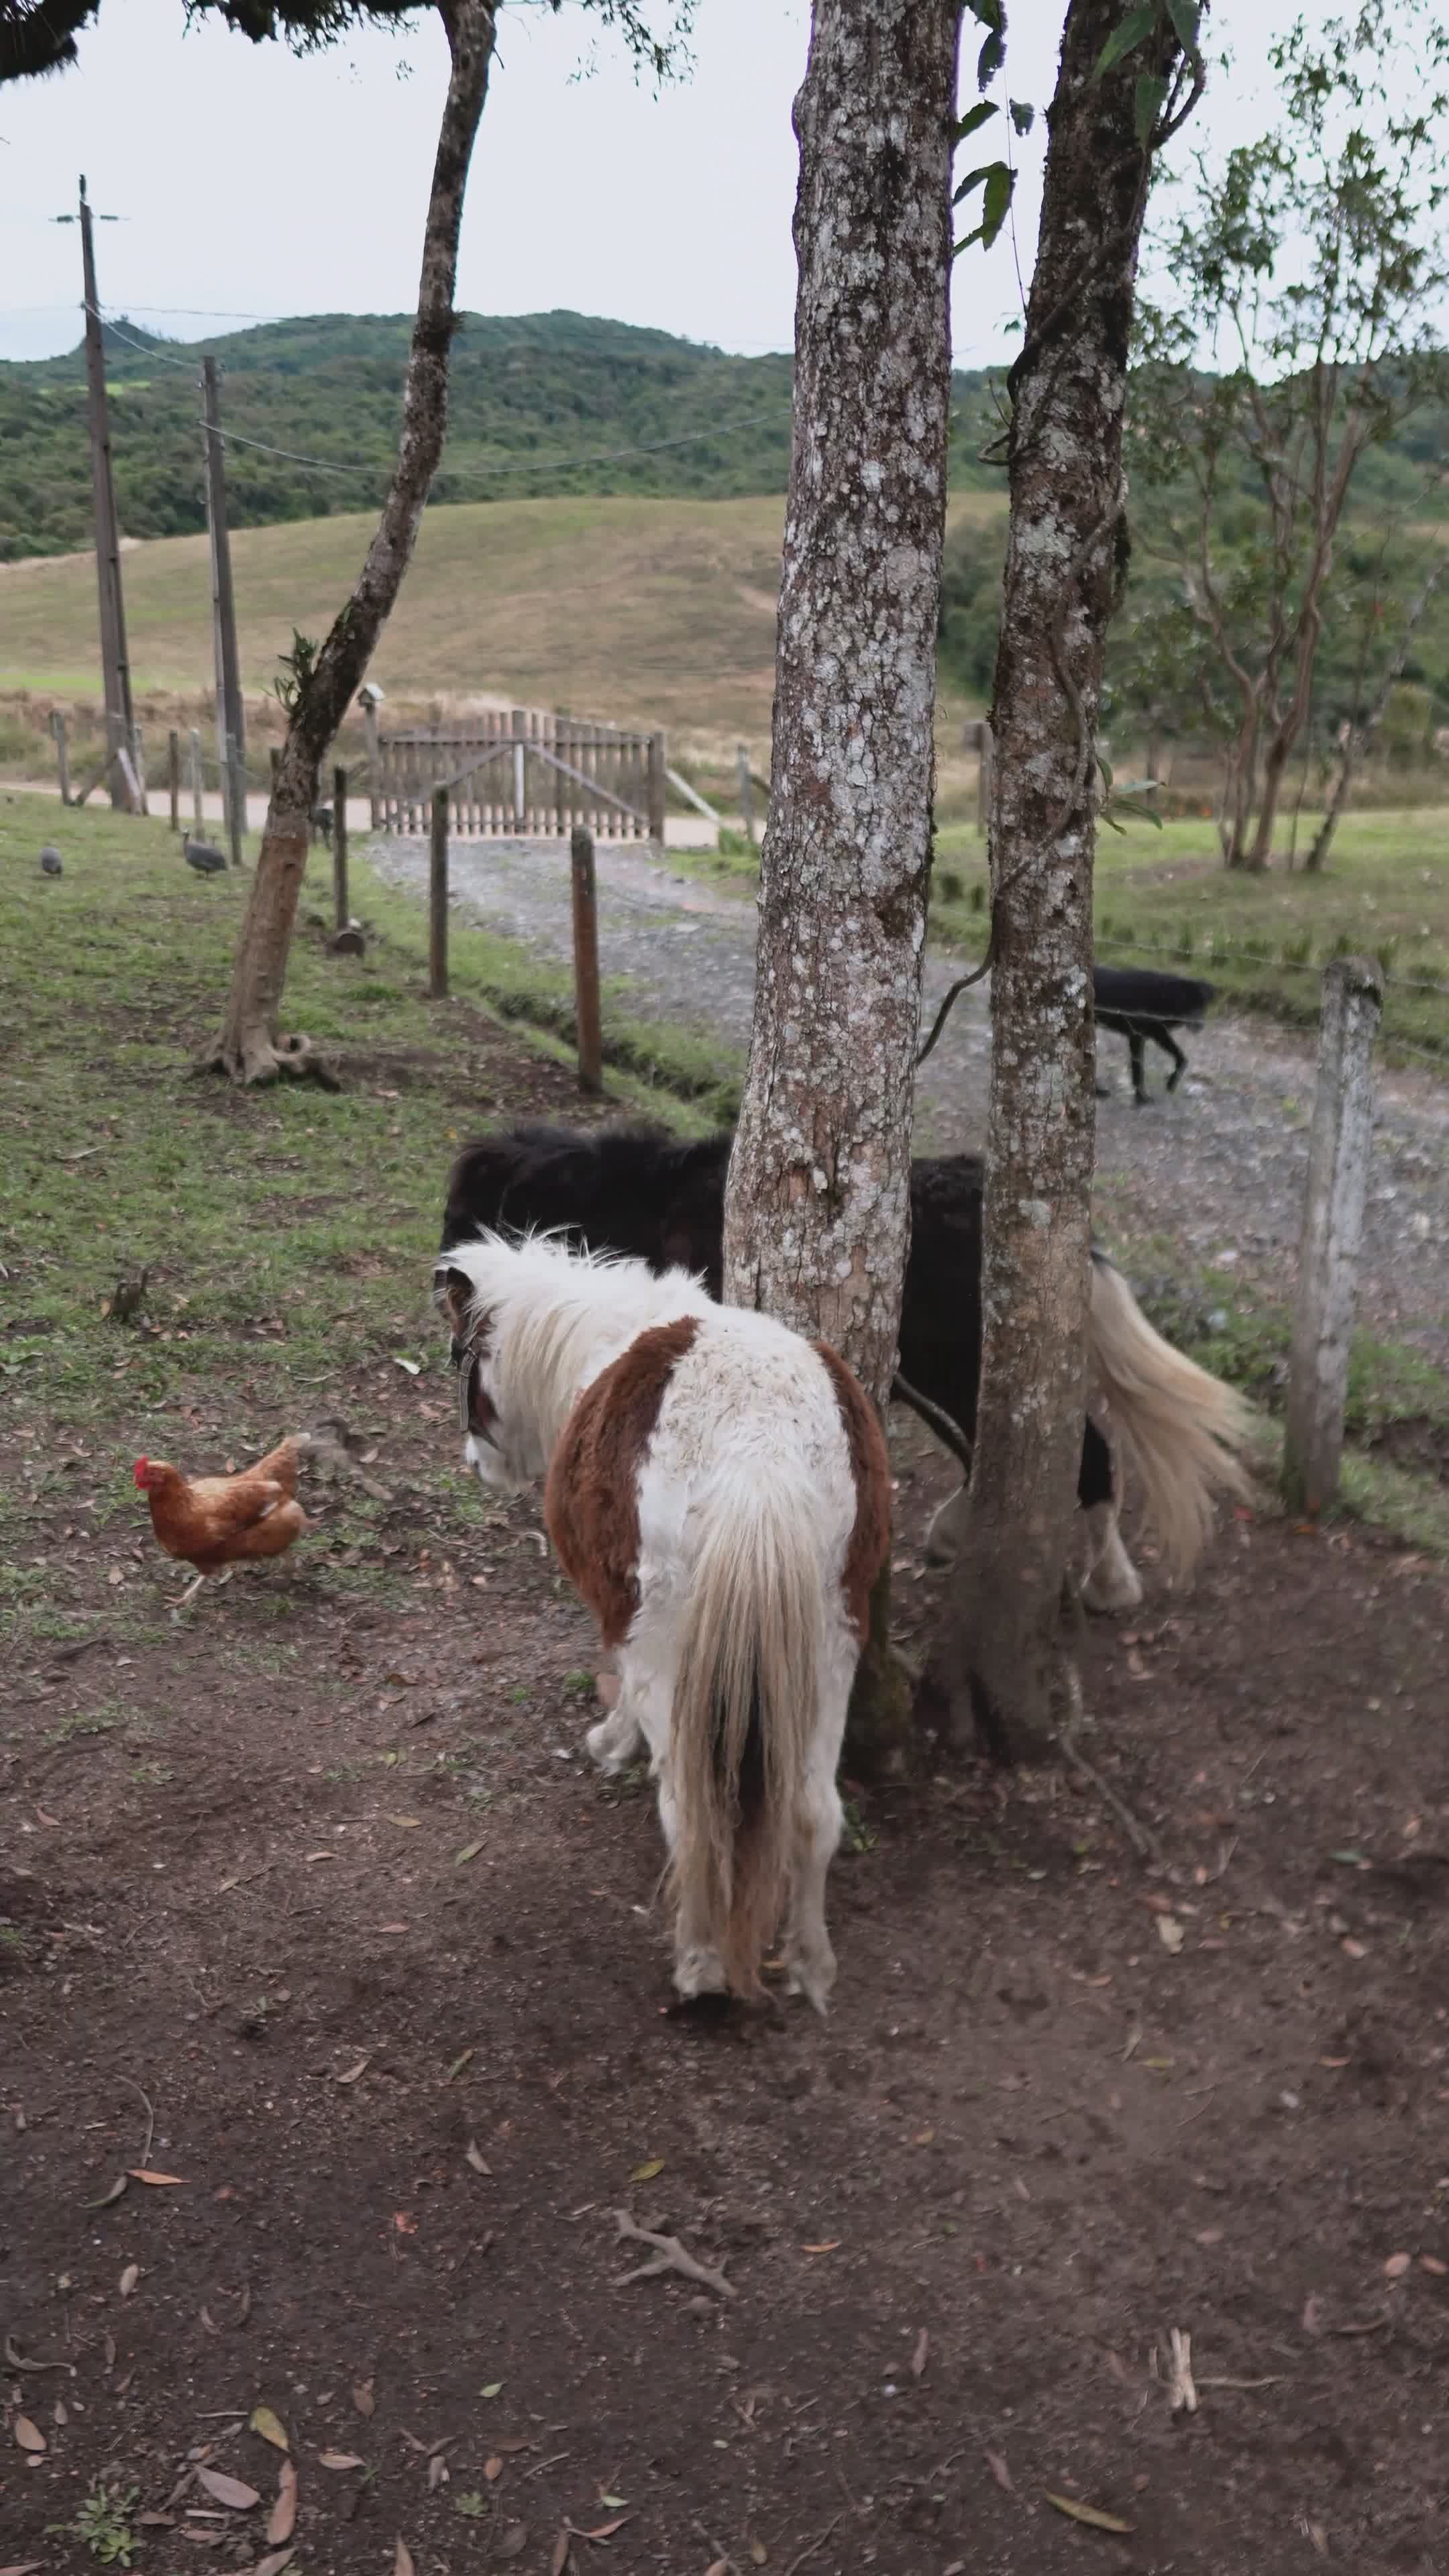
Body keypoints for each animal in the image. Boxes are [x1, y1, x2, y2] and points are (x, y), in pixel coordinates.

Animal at [434, 1230, 891, 2013]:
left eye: (466, 1357)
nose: (474, 1464)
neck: (599, 1338)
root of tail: (759, 1451)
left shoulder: (620, 1615)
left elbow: (615, 1677)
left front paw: (611, 1742)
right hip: (830, 1643)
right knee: (812, 1812)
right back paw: (809, 1964)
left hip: (670, 1641)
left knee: (689, 1812)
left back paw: (701, 1964)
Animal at [440, 1122, 1250, 1610]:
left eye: (463, 1221)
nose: (444, 1296)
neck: (640, 1206)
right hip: (941, 1371)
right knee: (991, 1448)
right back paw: (962, 1537)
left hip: (957, 1365)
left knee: (1086, 1452)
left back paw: (1111, 1583)